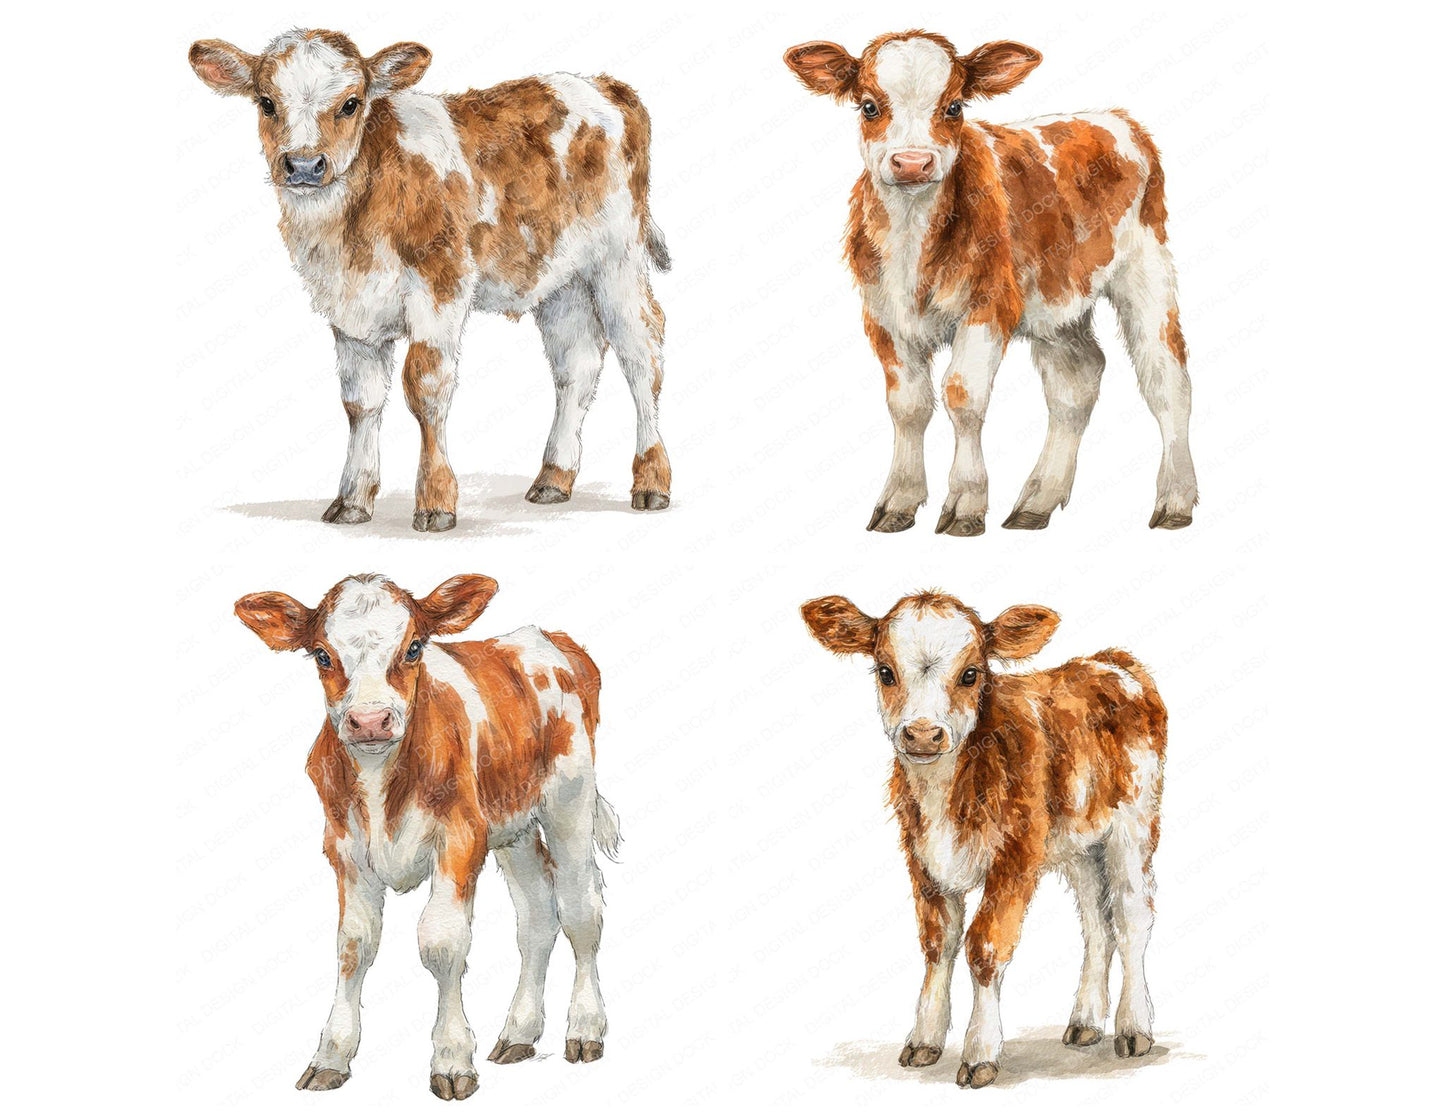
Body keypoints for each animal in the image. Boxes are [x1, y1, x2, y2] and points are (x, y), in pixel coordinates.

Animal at [190, 30, 672, 532]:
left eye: (351, 103)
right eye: (266, 102)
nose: (304, 166)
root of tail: (605, 85)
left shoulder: (441, 288)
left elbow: (424, 387)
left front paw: (436, 501)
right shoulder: (350, 308)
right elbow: (360, 400)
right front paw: (352, 500)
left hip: (618, 257)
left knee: (642, 352)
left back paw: (651, 482)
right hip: (562, 276)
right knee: (577, 362)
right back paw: (553, 479)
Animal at [234, 573, 620, 1098]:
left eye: (414, 647)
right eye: (321, 655)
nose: (370, 721)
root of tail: (547, 638)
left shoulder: (459, 838)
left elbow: (441, 944)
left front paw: (453, 1059)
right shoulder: (345, 850)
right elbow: (353, 947)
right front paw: (331, 1056)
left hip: (569, 800)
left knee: (581, 910)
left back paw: (584, 1029)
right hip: (513, 826)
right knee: (538, 917)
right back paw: (519, 1033)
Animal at [784, 32, 1197, 535]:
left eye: (954, 107)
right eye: (868, 106)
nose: (912, 163)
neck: (912, 242)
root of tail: (1114, 117)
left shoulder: (989, 303)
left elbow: (963, 395)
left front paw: (965, 503)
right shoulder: (883, 315)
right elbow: (908, 406)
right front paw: (899, 500)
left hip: (1146, 268)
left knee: (1166, 378)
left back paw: (1175, 500)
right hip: (1056, 300)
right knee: (1077, 380)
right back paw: (1037, 501)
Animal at [800, 591, 1166, 1088]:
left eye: (971, 674)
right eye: (885, 671)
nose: (922, 734)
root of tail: (1109, 661)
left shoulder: (1015, 857)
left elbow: (984, 947)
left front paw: (980, 1053)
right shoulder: (922, 859)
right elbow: (938, 943)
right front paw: (924, 1040)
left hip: (1134, 824)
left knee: (1131, 918)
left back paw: (1134, 1028)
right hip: (1078, 844)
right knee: (1096, 923)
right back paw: (1085, 1023)